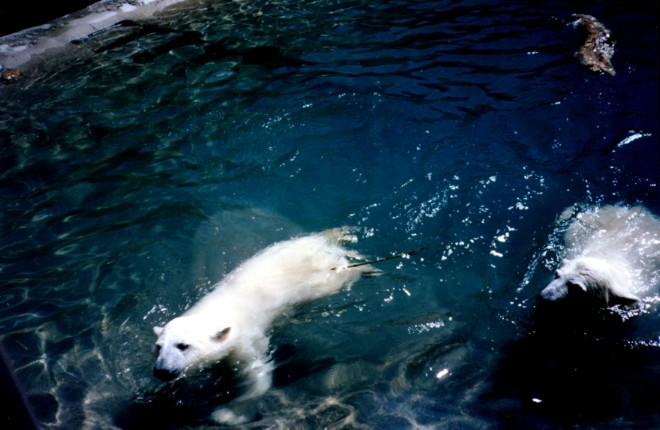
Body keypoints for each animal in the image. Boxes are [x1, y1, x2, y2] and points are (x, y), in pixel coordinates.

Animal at [152, 227, 372, 424]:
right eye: (158, 347)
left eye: (183, 345)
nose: (161, 371)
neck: (215, 312)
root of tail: (320, 244)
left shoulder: (246, 343)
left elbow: (256, 376)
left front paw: (227, 415)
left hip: (322, 278)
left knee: (343, 272)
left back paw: (367, 268)